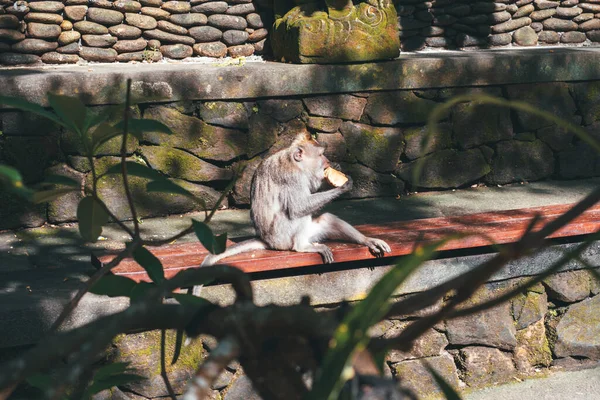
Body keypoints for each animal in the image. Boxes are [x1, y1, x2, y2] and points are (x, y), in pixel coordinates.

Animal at [199, 133, 392, 268]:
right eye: (320, 155)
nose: (327, 160)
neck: (295, 163)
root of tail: (266, 240)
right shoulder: (291, 177)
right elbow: (298, 207)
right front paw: (343, 187)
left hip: (312, 232)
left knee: (326, 219)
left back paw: (367, 240)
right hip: (281, 238)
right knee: (295, 213)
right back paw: (301, 247)